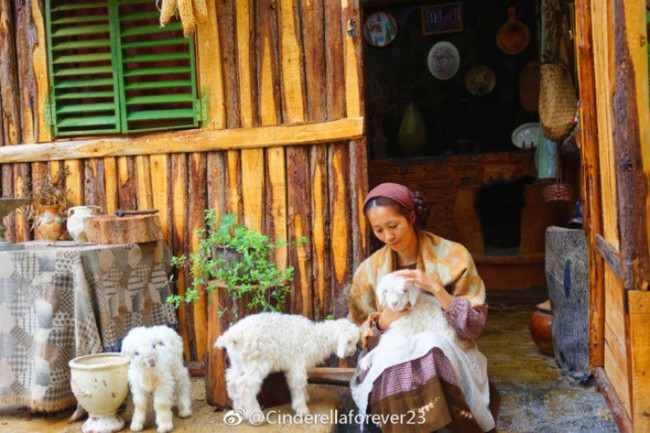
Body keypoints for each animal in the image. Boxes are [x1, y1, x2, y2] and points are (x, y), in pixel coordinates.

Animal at [216, 312, 360, 420]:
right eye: (349, 341)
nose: (353, 351)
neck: (316, 338)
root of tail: (232, 336)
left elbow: (303, 384)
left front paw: (306, 398)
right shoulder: (297, 365)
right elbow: (298, 385)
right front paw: (302, 409)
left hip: (238, 362)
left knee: (232, 381)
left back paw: (239, 409)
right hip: (256, 363)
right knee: (245, 385)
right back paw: (255, 417)